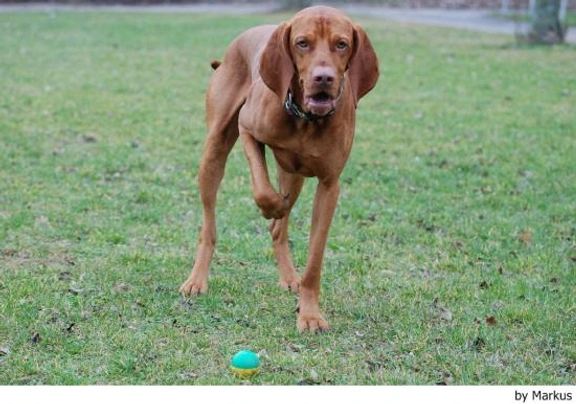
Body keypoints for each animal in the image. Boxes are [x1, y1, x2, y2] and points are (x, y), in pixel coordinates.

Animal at [180, 6, 378, 332]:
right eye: (302, 43)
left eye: (341, 44)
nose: (323, 78)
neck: (305, 120)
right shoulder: (247, 130)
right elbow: (262, 189)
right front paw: (270, 206)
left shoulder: (329, 185)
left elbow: (314, 259)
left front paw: (309, 314)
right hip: (214, 153)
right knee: (209, 228)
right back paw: (197, 280)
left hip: (293, 176)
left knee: (278, 230)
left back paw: (288, 276)